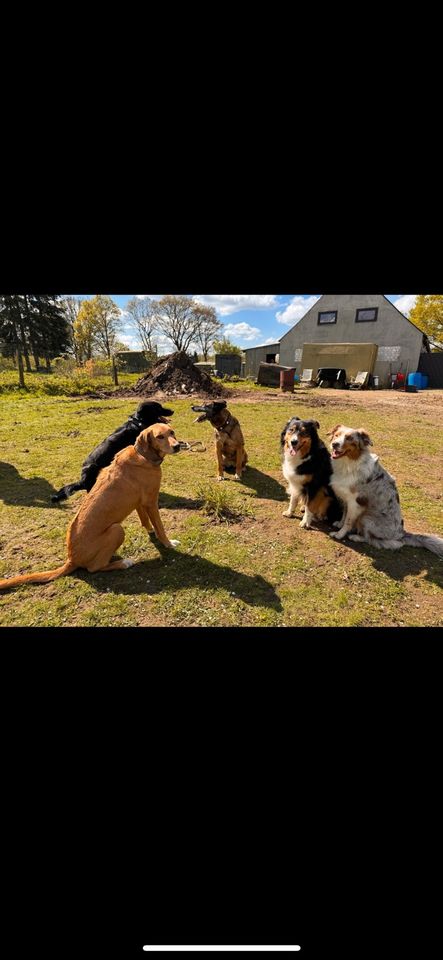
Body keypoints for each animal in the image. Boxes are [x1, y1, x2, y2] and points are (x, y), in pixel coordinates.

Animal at [0, 424, 182, 588]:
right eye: (160, 437)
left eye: (172, 432)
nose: (178, 445)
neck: (143, 454)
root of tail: (71, 558)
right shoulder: (151, 502)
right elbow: (160, 528)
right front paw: (168, 543)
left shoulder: (139, 502)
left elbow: (146, 522)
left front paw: (151, 533)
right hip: (116, 530)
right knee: (94, 568)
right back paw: (123, 563)